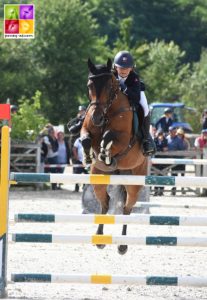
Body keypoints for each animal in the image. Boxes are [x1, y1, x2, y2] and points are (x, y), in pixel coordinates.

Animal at [80, 58, 148, 253]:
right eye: (90, 85)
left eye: (110, 86)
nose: (96, 118)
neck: (107, 111)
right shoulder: (86, 130)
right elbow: (86, 139)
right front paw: (90, 156)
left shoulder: (124, 139)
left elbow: (109, 136)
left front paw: (106, 152)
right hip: (98, 178)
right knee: (105, 203)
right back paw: (100, 239)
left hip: (134, 181)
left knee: (127, 208)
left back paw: (123, 245)